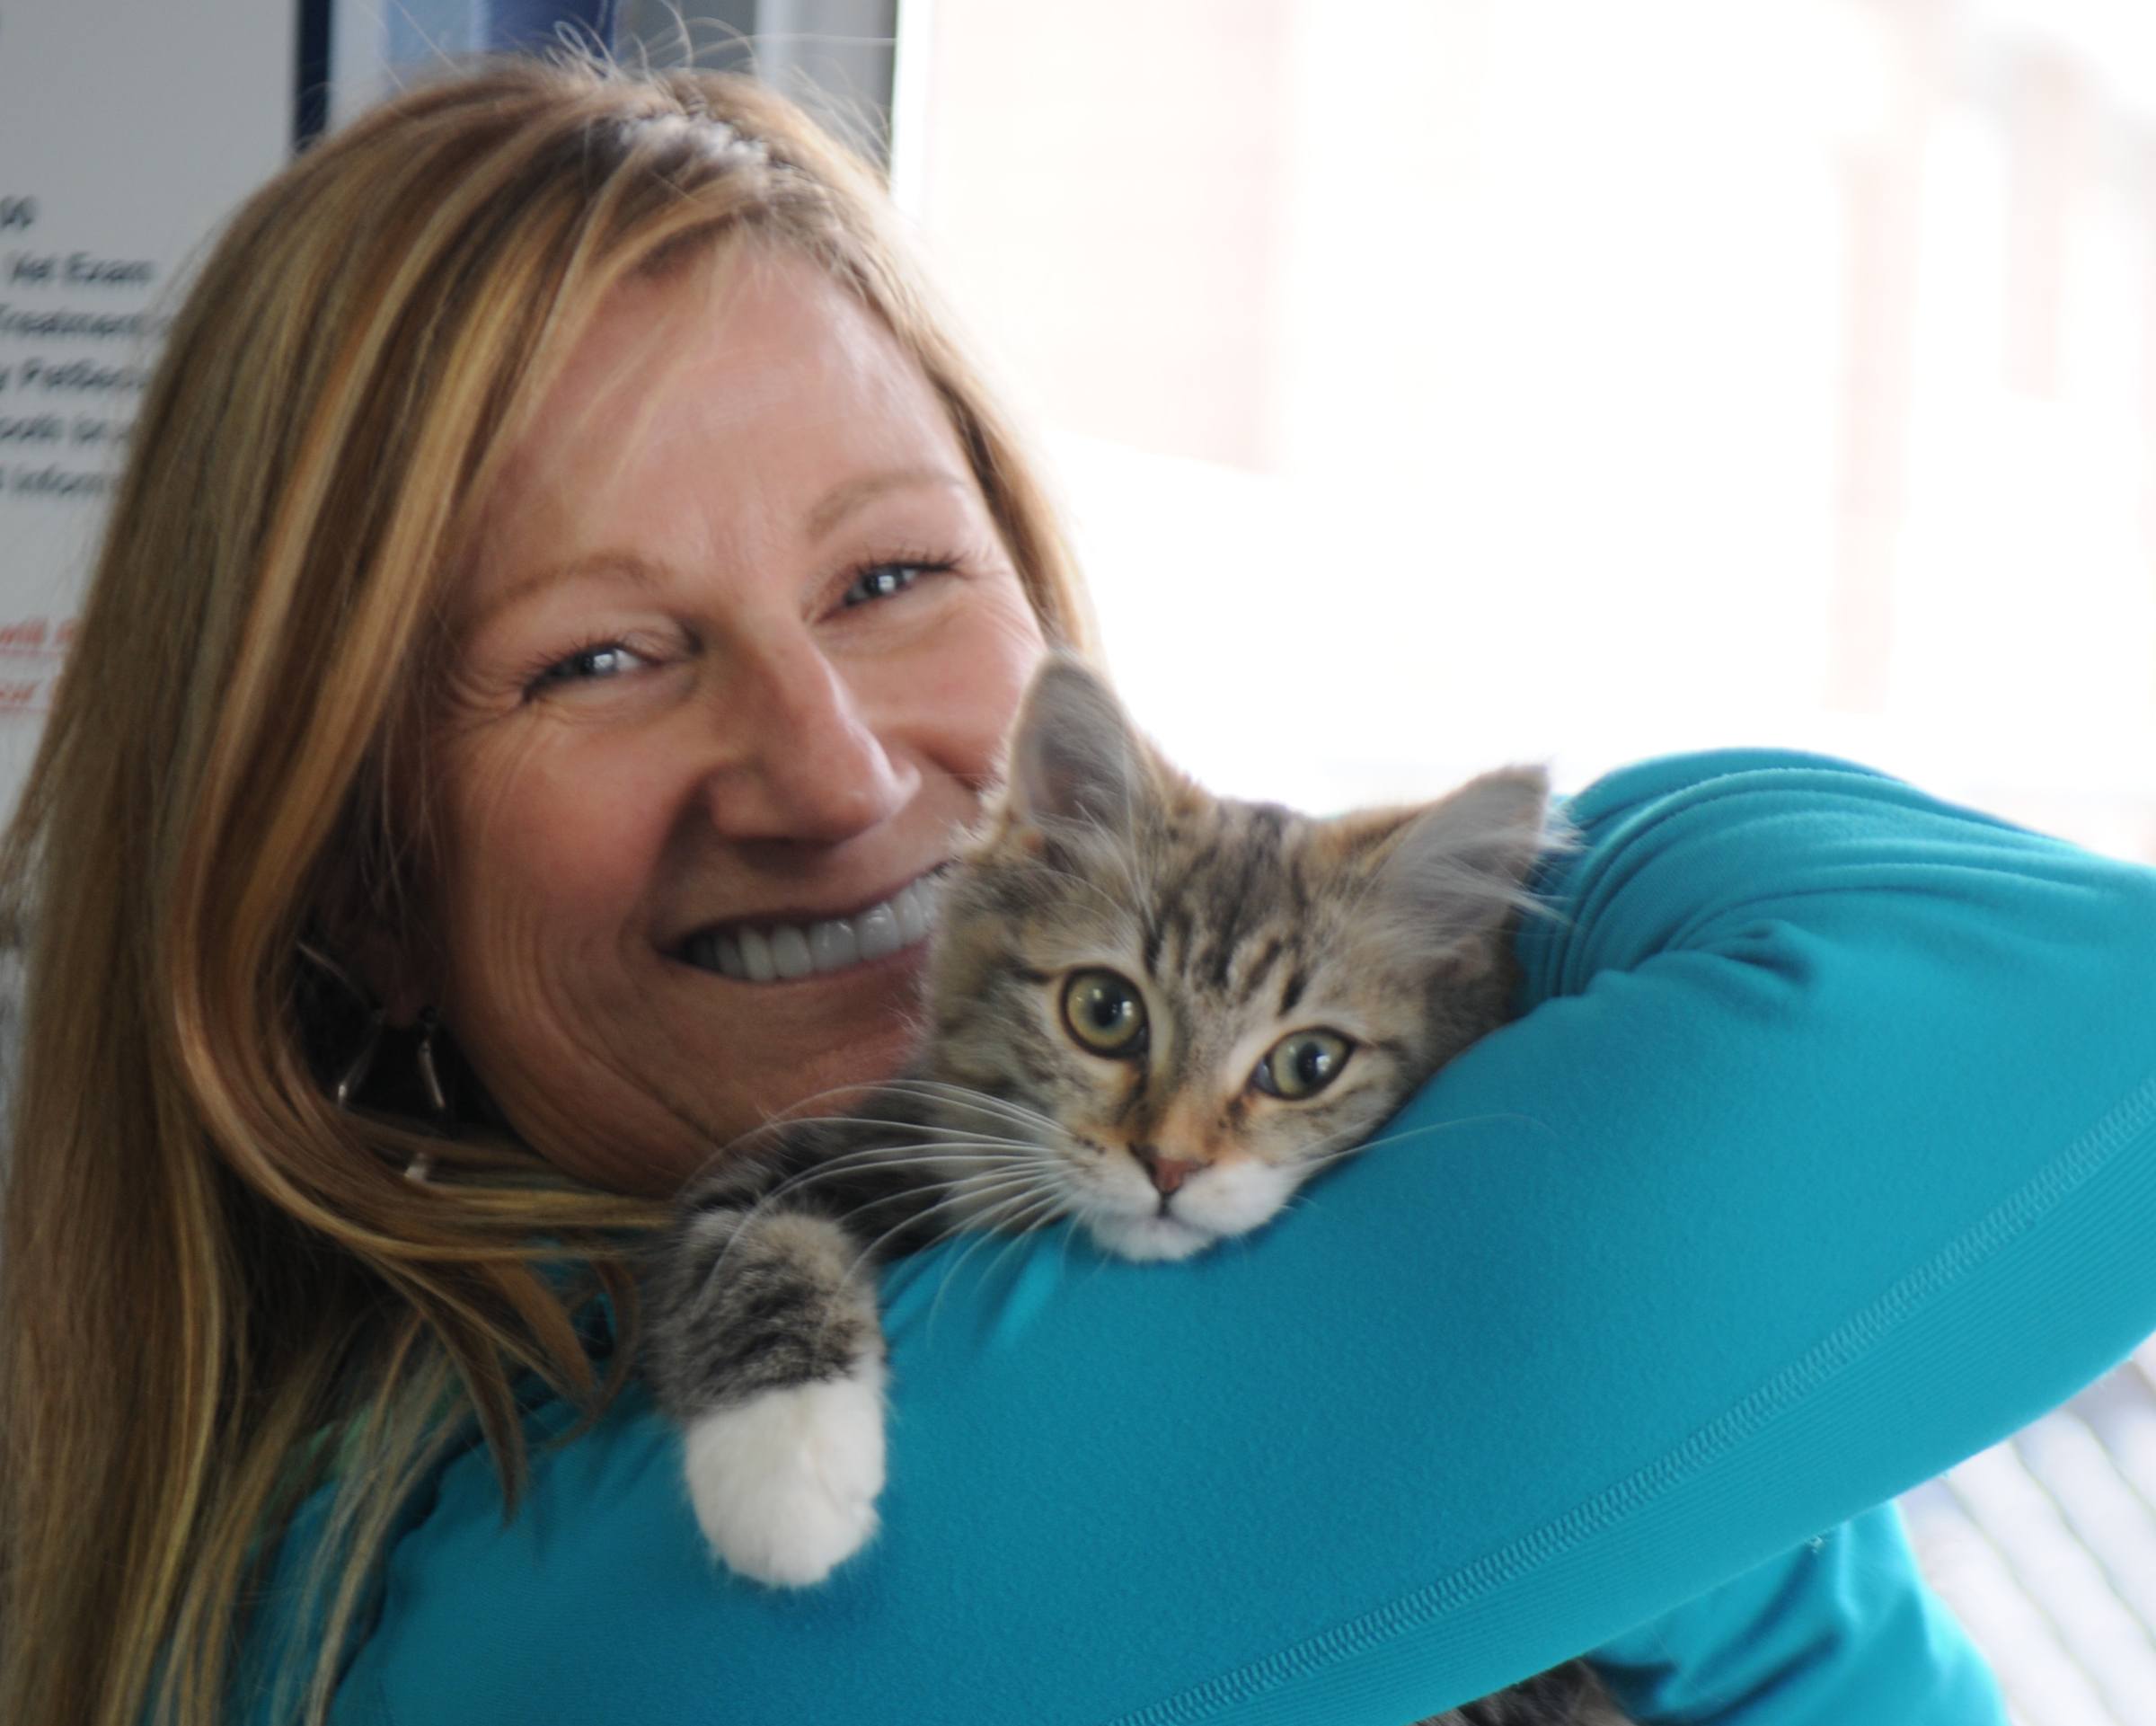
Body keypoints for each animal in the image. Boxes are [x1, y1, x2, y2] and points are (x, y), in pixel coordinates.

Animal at [647, 655, 1621, 1725]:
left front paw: (779, 1485)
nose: (1170, 1165)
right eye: (1105, 1011)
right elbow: (747, 1240)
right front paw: (779, 1476)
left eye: (1309, 1063)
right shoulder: (851, 1145)